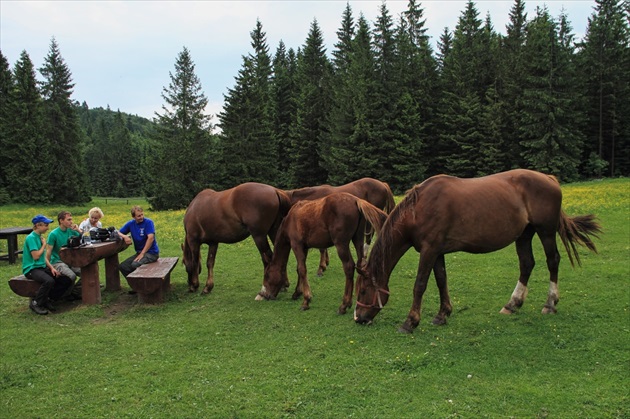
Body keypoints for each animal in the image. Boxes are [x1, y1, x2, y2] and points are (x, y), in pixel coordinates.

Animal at [258, 192, 390, 314]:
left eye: (267, 275)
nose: (264, 294)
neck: (291, 219)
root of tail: (356, 200)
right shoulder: (304, 248)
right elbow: (299, 269)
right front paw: (297, 292)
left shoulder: (296, 245)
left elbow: (302, 269)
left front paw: (306, 300)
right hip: (357, 239)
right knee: (360, 264)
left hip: (341, 244)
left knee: (349, 267)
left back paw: (344, 305)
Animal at [354, 169, 604, 334]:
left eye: (364, 290)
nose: (359, 318)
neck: (419, 209)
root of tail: (549, 179)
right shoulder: (437, 252)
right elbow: (441, 280)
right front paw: (442, 314)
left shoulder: (429, 250)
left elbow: (420, 285)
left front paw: (410, 321)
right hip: (524, 234)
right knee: (527, 264)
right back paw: (512, 304)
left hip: (546, 231)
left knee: (553, 261)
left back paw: (550, 304)